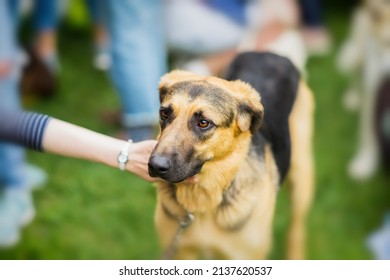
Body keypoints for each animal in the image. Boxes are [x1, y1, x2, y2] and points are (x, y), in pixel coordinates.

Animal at [148, 51, 316, 260]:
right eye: (164, 113)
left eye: (204, 123)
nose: (155, 166)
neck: (204, 203)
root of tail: (269, 54)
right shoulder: (181, 252)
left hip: (302, 178)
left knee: (296, 227)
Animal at [336, 0, 390, 179]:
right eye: (387, 43)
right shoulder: (373, 88)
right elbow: (368, 132)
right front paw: (365, 165)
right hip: (359, 56)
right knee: (356, 78)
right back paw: (353, 98)